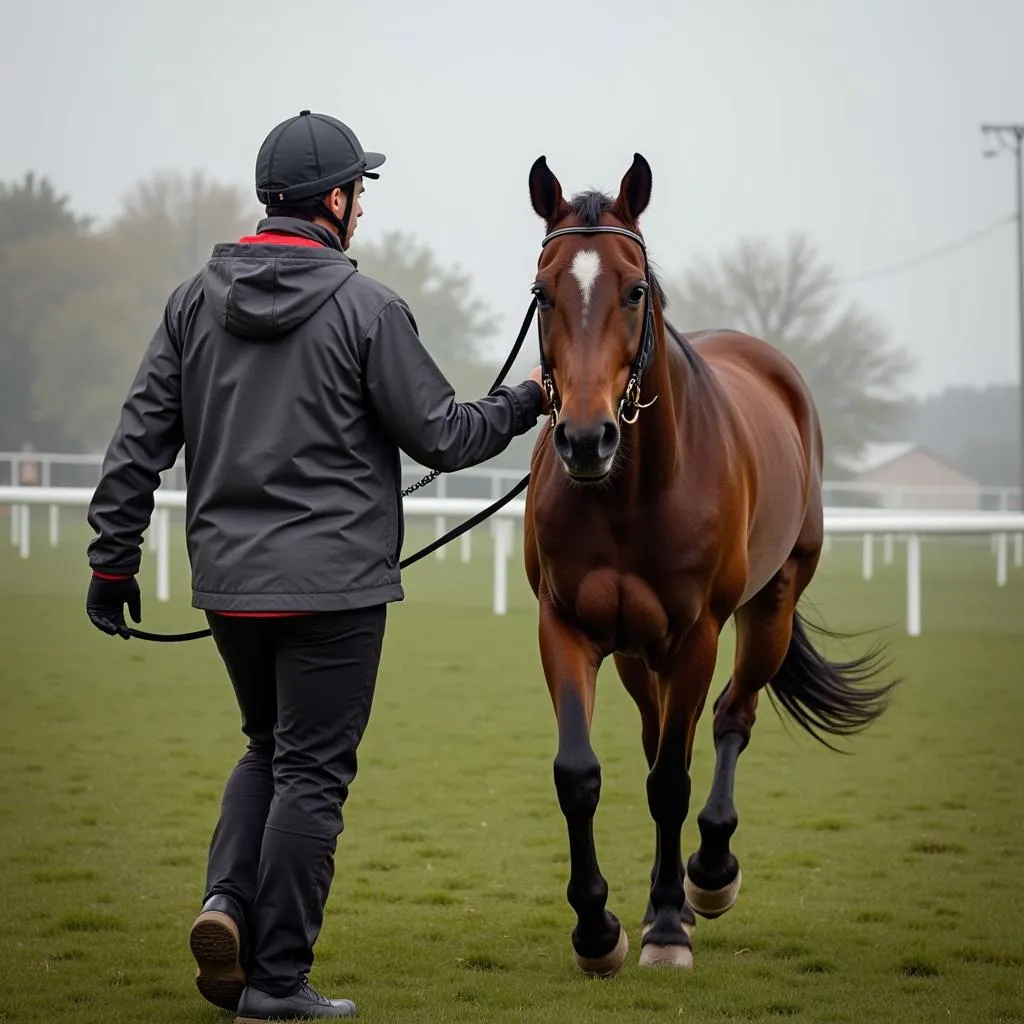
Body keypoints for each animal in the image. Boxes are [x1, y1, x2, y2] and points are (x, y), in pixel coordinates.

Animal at [524, 151, 892, 974]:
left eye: (635, 290)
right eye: (543, 292)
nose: (586, 439)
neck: (628, 494)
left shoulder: (695, 635)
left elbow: (671, 780)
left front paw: (665, 926)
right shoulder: (566, 624)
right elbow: (577, 773)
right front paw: (596, 929)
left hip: (770, 608)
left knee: (730, 718)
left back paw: (709, 876)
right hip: (638, 652)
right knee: (659, 731)